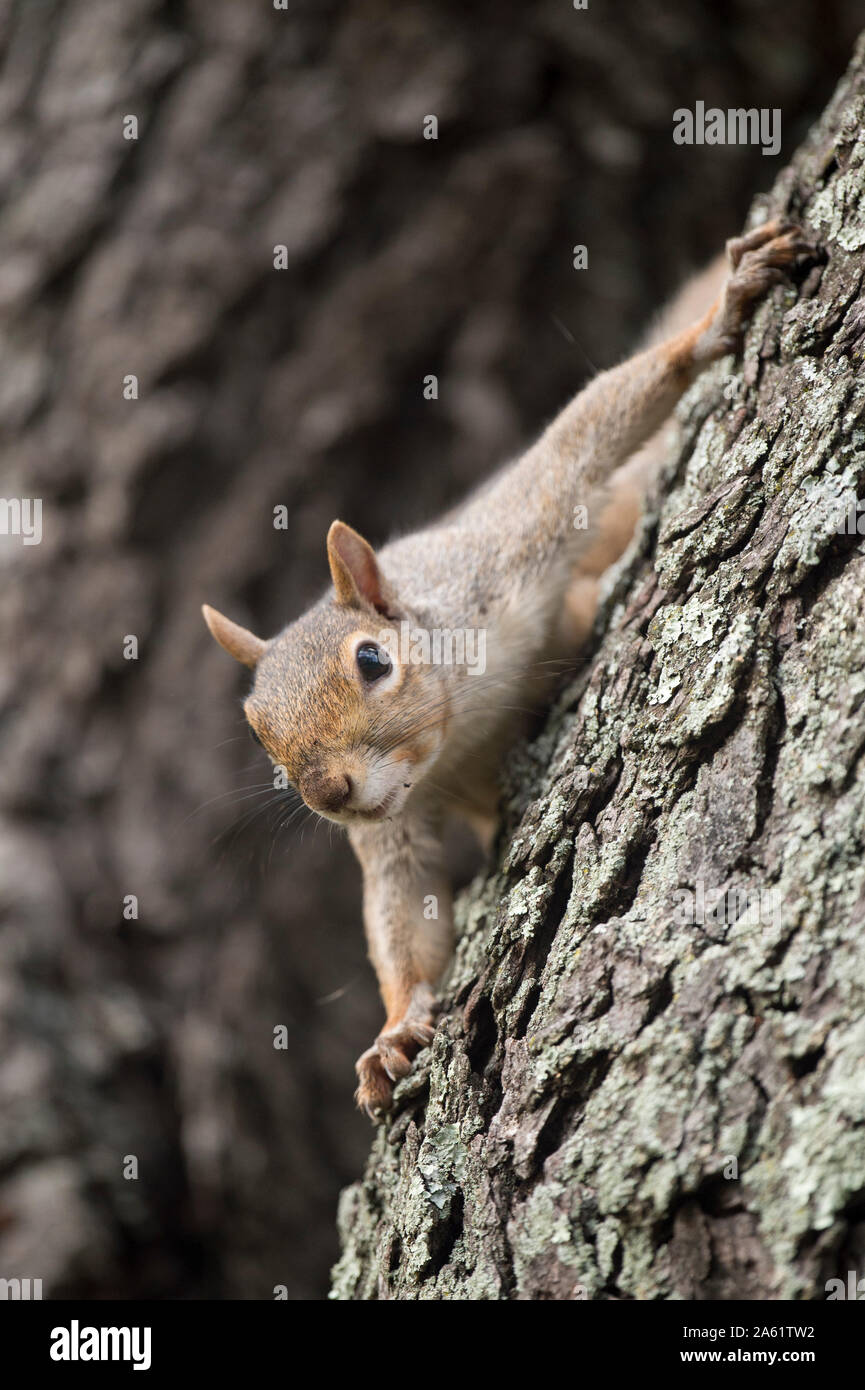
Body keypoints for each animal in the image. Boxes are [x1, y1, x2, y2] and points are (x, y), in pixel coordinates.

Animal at [203, 220, 812, 1119]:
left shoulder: (508, 544)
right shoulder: (392, 830)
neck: (456, 734)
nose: (327, 795)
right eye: (256, 732)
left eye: (372, 660)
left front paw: (718, 319)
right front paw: (394, 1033)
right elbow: (403, 912)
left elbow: (580, 439)